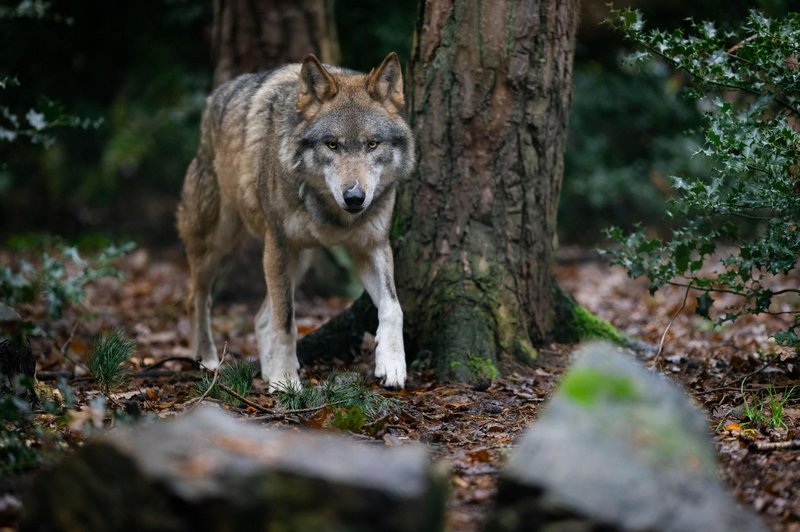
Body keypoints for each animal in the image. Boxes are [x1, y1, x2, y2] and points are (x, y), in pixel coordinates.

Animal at [175, 52, 412, 388]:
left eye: (372, 144)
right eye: (332, 145)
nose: (354, 197)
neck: (333, 213)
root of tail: (214, 98)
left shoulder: (372, 246)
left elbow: (393, 307)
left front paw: (392, 364)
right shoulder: (278, 244)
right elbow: (286, 321)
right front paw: (286, 380)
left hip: (300, 260)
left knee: (260, 318)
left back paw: (265, 371)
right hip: (217, 246)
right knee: (197, 299)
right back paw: (206, 360)